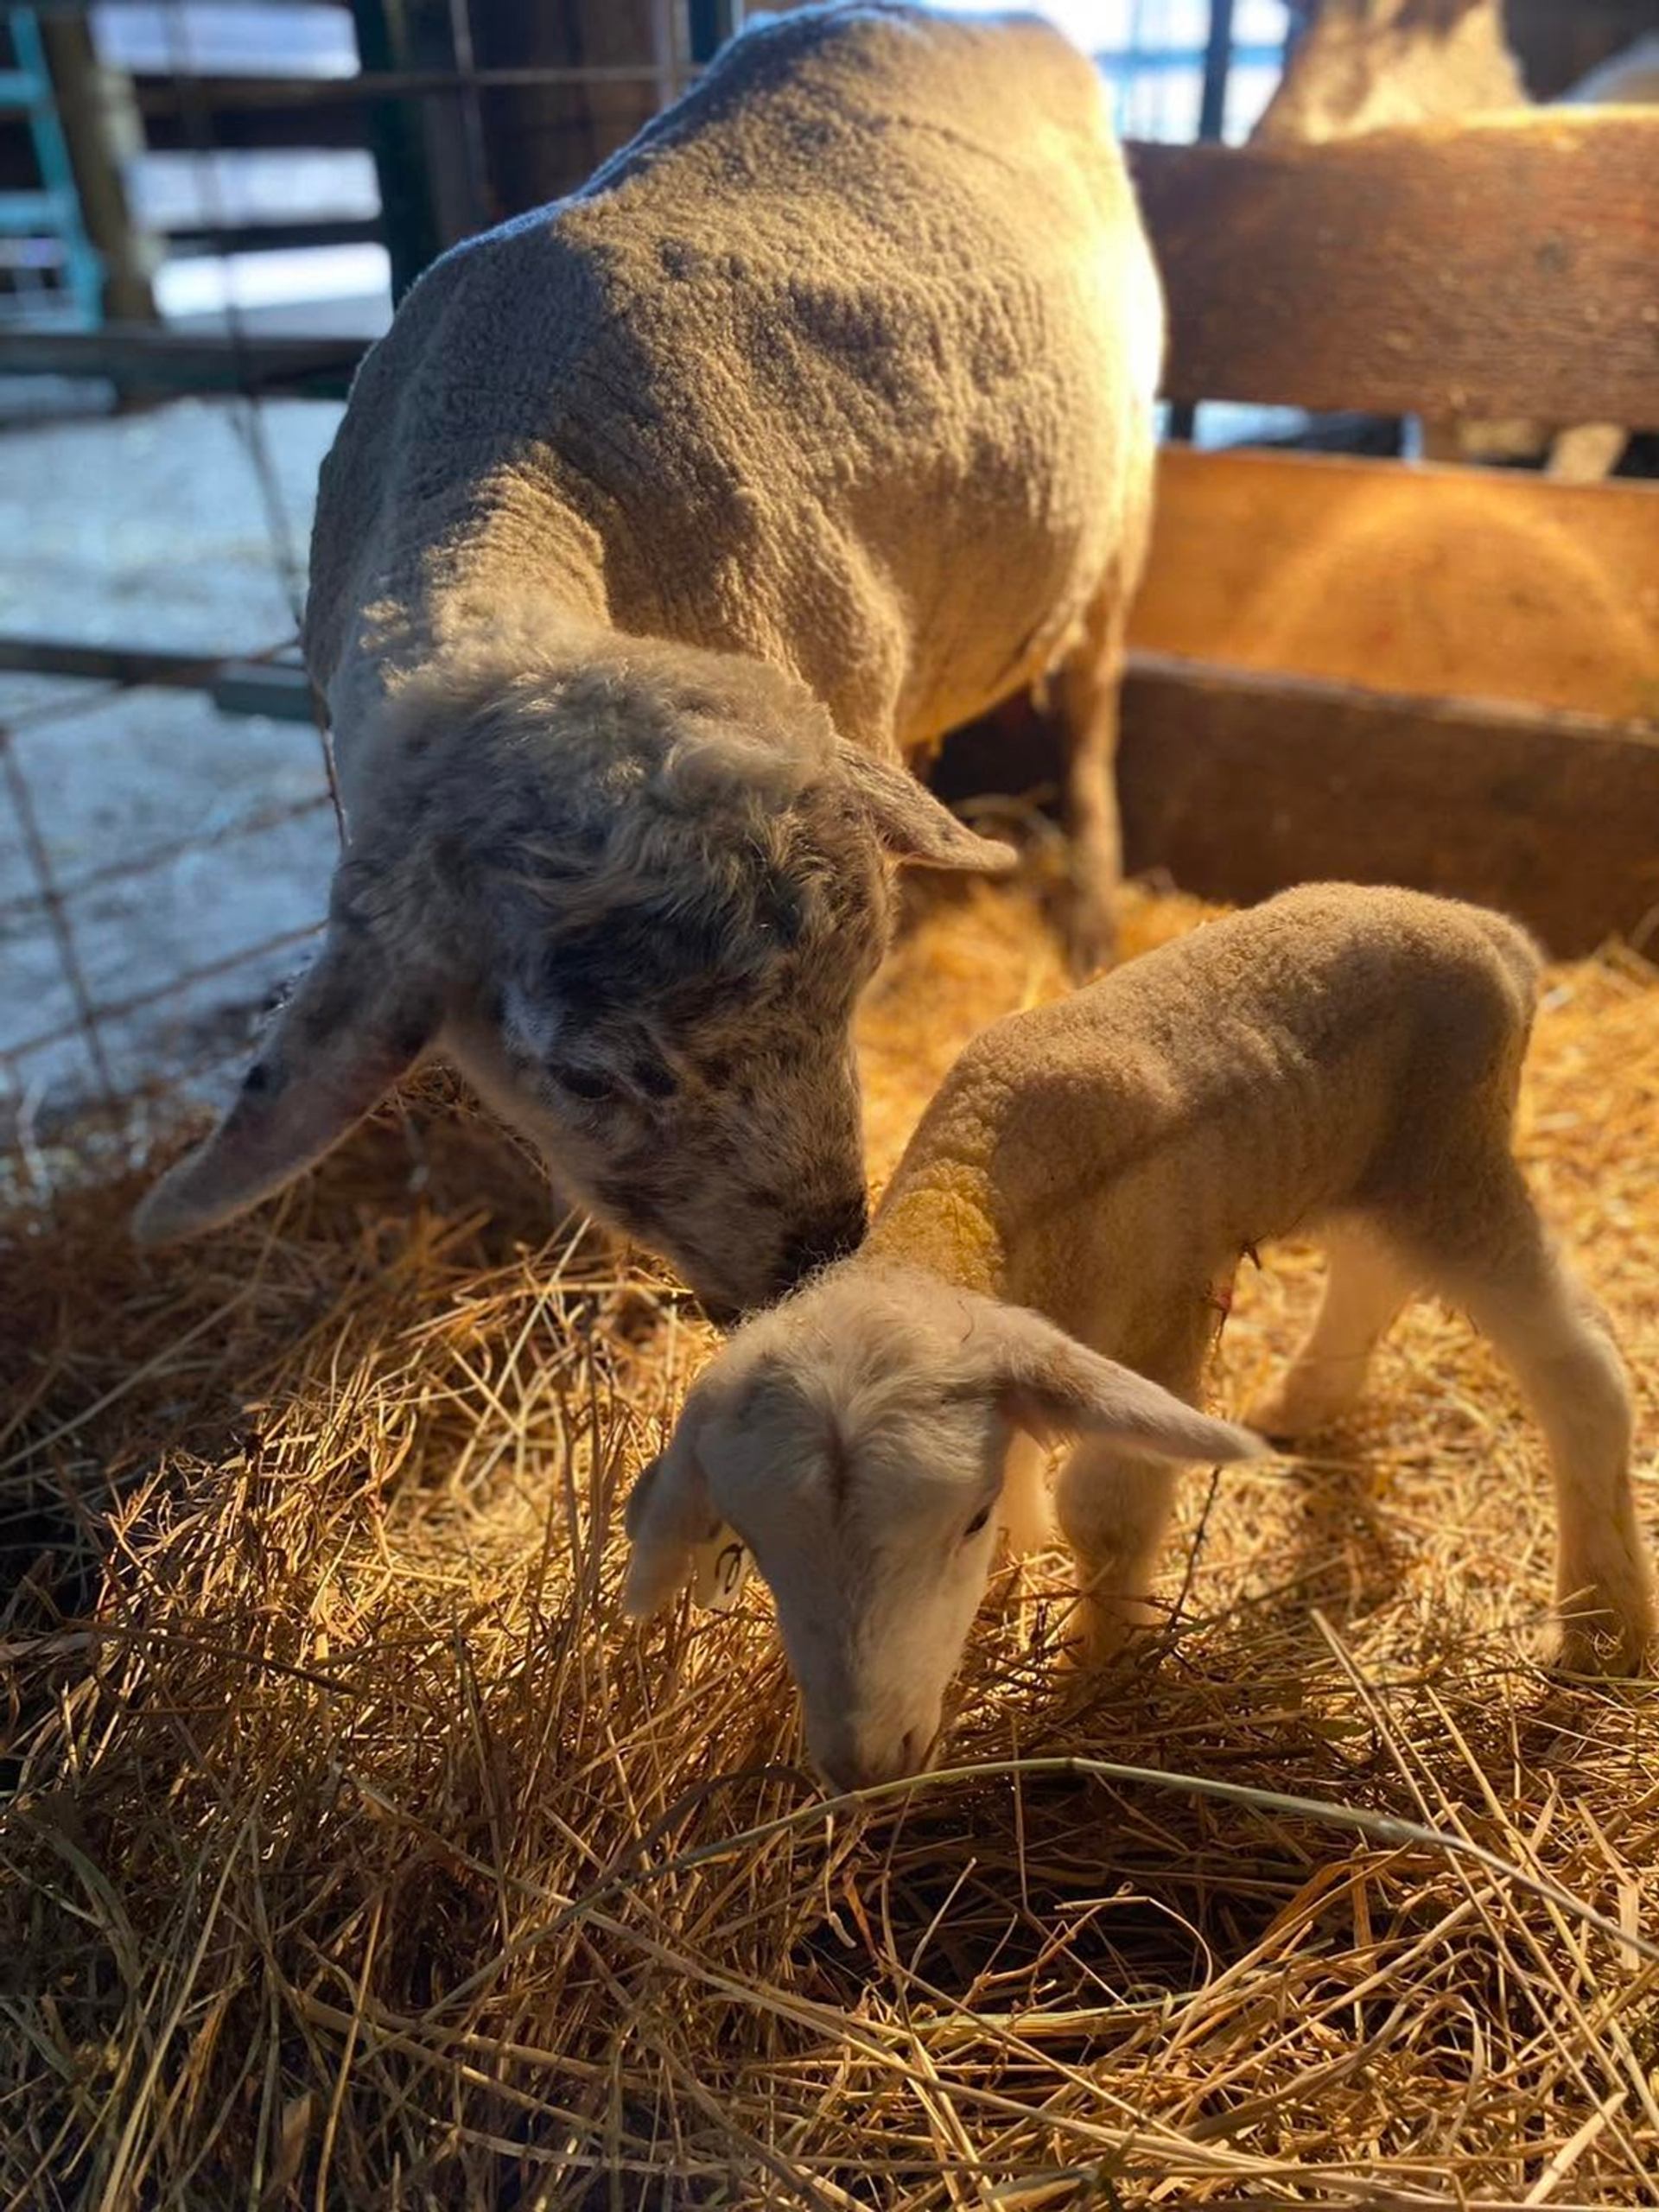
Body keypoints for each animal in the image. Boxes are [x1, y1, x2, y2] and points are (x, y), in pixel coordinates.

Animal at [130, 2, 1166, 1324]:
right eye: (589, 1076)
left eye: (856, 990)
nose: (818, 1260)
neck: (507, 473)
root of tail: (991, 25)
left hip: (1119, 508)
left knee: (1091, 717)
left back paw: (1091, 906)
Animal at [624, 883, 1655, 1792]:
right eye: (757, 1550)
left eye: (964, 1519)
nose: (864, 1767)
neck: (977, 1183)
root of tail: (1498, 935)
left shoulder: (1166, 1311)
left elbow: (1105, 1508)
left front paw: (1096, 1675)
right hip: (1361, 1163)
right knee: (1372, 1270)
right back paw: (1303, 1403)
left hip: (1451, 1155)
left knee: (1583, 1364)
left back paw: (1604, 1625)